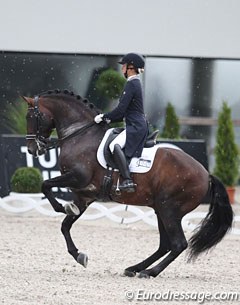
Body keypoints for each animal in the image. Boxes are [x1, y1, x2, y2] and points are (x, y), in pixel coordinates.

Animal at [22, 89, 232, 276]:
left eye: (31, 117)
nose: (32, 150)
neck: (80, 135)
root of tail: (206, 174)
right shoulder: (84, 194)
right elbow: (65, 226)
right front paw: (79, 255)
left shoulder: (78, 177)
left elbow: (45, 185)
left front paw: (61, 207)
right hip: (161, 209)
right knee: (165, 245)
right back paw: (134, 268)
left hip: (169, 209)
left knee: (178, 244)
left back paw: (149, 272)